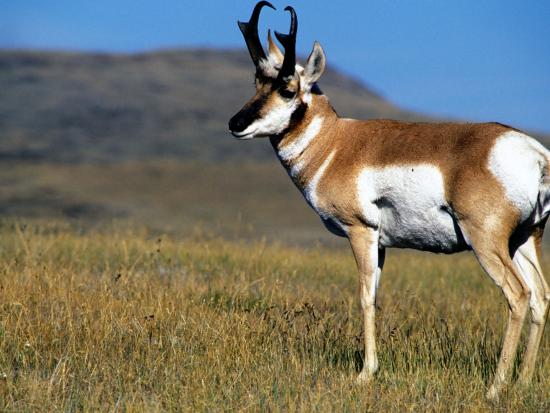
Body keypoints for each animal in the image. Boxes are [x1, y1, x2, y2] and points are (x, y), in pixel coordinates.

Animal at [229, 0, 550, 400]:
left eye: (288, 90)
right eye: (257, 83)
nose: (235, 124)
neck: (335, 144)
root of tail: (535, 153)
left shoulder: (361, 232)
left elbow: (365, 297)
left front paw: (365, 373)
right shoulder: (382, 244)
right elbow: (376, 296)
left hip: (487, 242)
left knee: (518, 295)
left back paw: (495, 388)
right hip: (524, 240)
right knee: (540, 296)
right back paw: (523, 381)